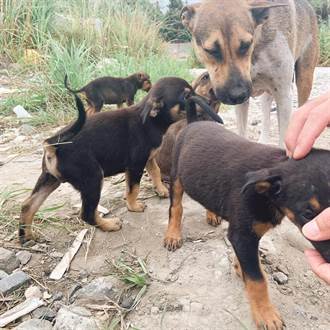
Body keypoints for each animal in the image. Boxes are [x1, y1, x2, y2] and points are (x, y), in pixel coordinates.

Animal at [20, 76, 222, 242]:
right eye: (187, 96)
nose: (208, 102)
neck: (150, 121)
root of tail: (53, 143)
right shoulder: (135, 164)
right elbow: (134, 188)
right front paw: (134, 206)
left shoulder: (149, 158)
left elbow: (155, 173)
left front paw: (161, 190)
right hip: (93, 179)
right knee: (87, 214)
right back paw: (109, 224)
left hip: (50, 179)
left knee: (28, 205)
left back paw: (26, 236)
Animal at [180, 0, 320, 145]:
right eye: (210, 50)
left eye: (246, 44)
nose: (237, 94)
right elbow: (242, 132)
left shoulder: (284, 95)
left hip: (304, 79)